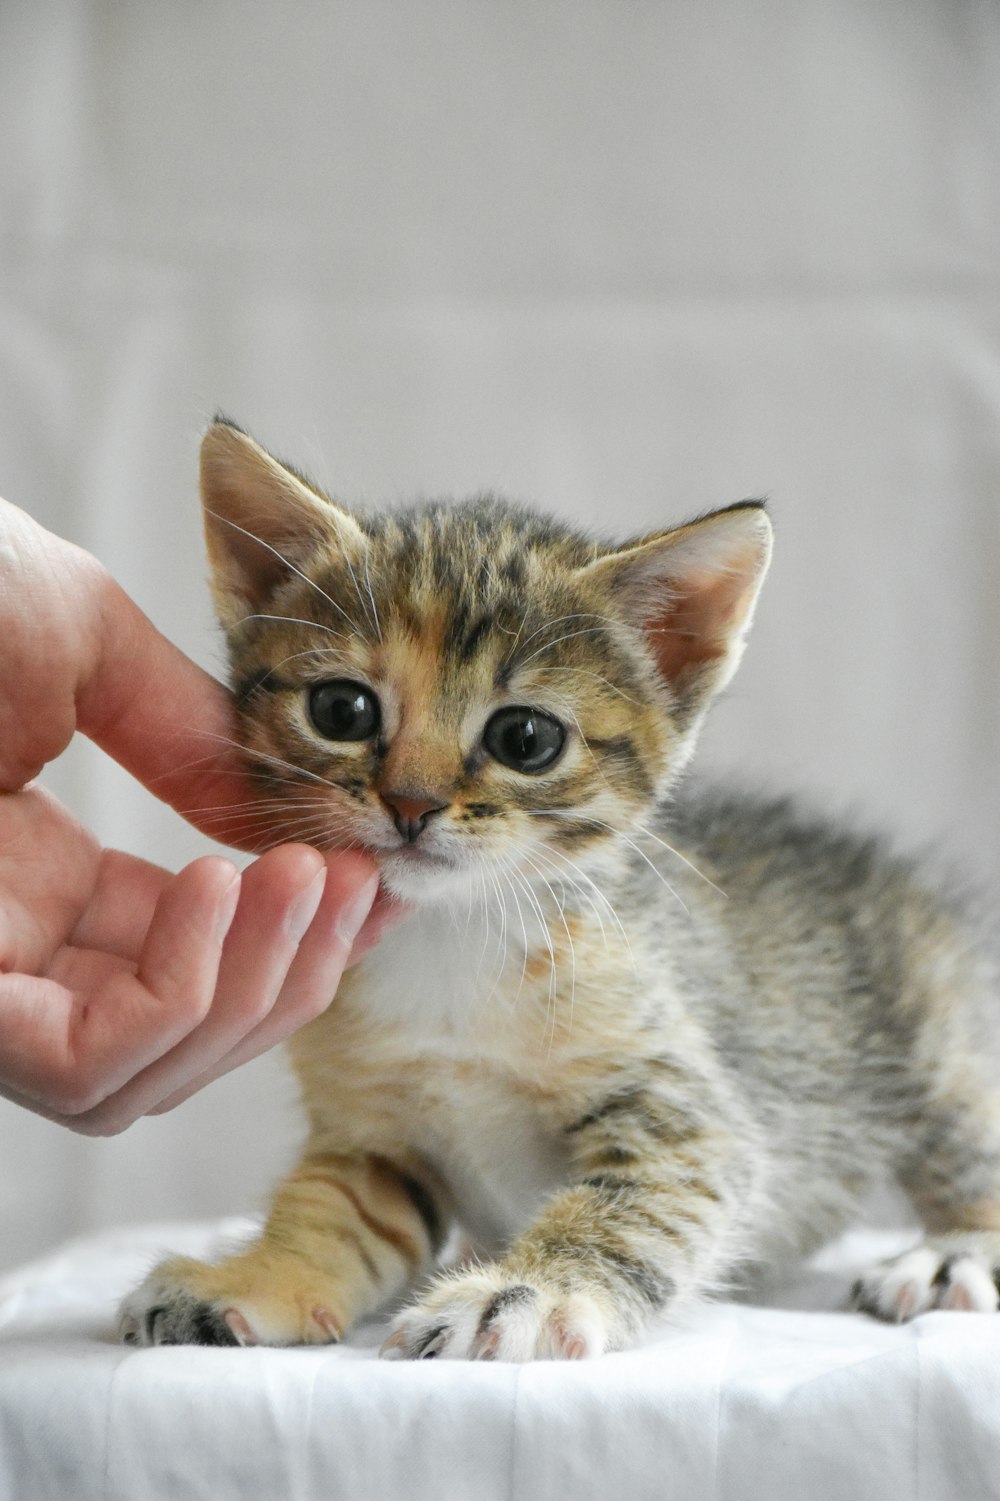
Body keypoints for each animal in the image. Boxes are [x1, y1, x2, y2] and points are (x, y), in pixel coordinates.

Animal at [120, 420, 996, 1362]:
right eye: (342, 710)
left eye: (526, 738)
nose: (411, 803)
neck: (452, 938)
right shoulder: (375, 1133)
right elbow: (332, 1209)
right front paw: (255, 1277)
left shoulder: (684, 1110)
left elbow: (627, 1210)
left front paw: (525, 1290)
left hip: (939, 1037)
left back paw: (952, 1254)